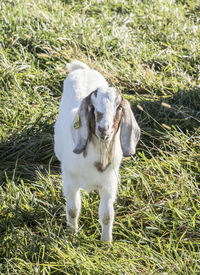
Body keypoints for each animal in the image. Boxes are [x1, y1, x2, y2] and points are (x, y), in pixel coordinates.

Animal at [54, 61, 140, 244]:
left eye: (118, 108)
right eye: (93, 108)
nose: (103, 129)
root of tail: (83, 70)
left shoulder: (109, 185)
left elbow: (107, 215)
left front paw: (106, 243)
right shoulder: (70, 182)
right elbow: (73, 210)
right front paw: (71, 236)